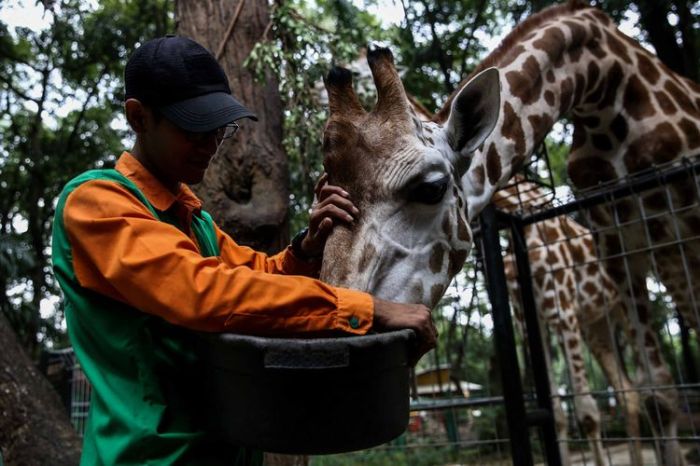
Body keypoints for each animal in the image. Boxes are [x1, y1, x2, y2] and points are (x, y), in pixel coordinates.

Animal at [320, 2, 696, 462]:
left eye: (432, 187)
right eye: (325, 191)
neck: (601, 89)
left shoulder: (571, 304)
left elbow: (600, 406)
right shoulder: (555, 296)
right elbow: (565, 408)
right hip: (610, 314)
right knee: (631, 391)